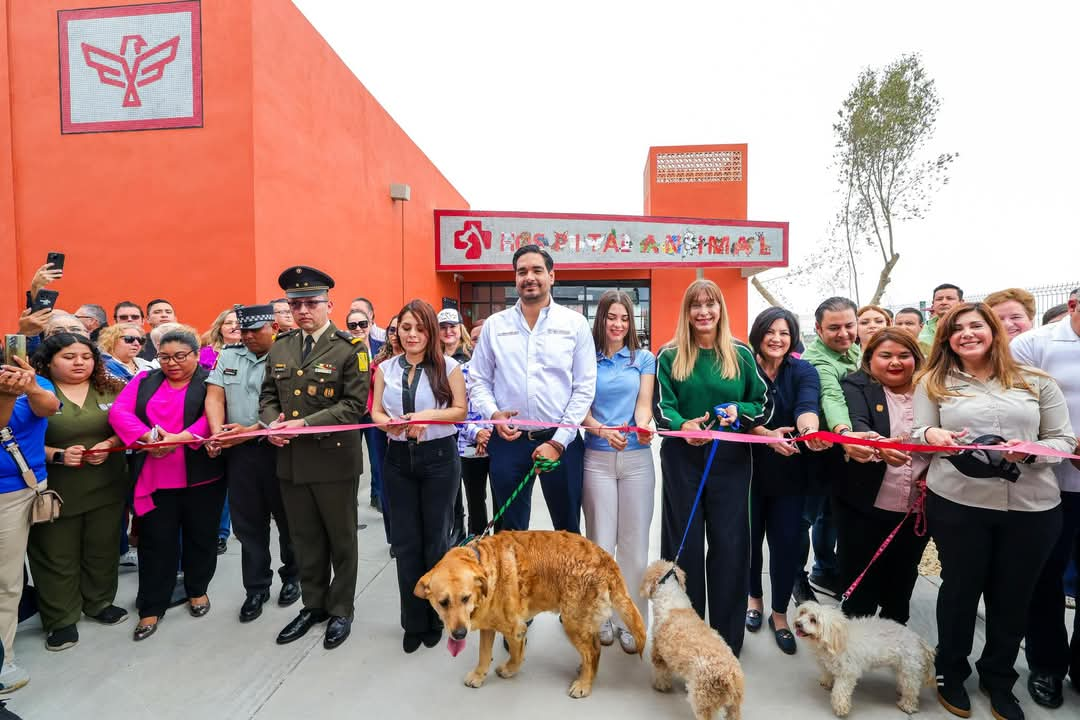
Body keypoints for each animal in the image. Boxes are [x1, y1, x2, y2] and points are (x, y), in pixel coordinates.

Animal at [794, 604, 937, 716]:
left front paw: (841, 707)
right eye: (802, 612)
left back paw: (907, 705)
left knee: (912, 690)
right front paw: (827, 681)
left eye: (813, 620)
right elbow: (827, 672)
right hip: (902, 669)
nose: (797, 623)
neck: (836, 639)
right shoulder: (827, 664)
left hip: (909, 670)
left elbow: (840, 691)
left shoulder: (848, 673)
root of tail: (918, 639)